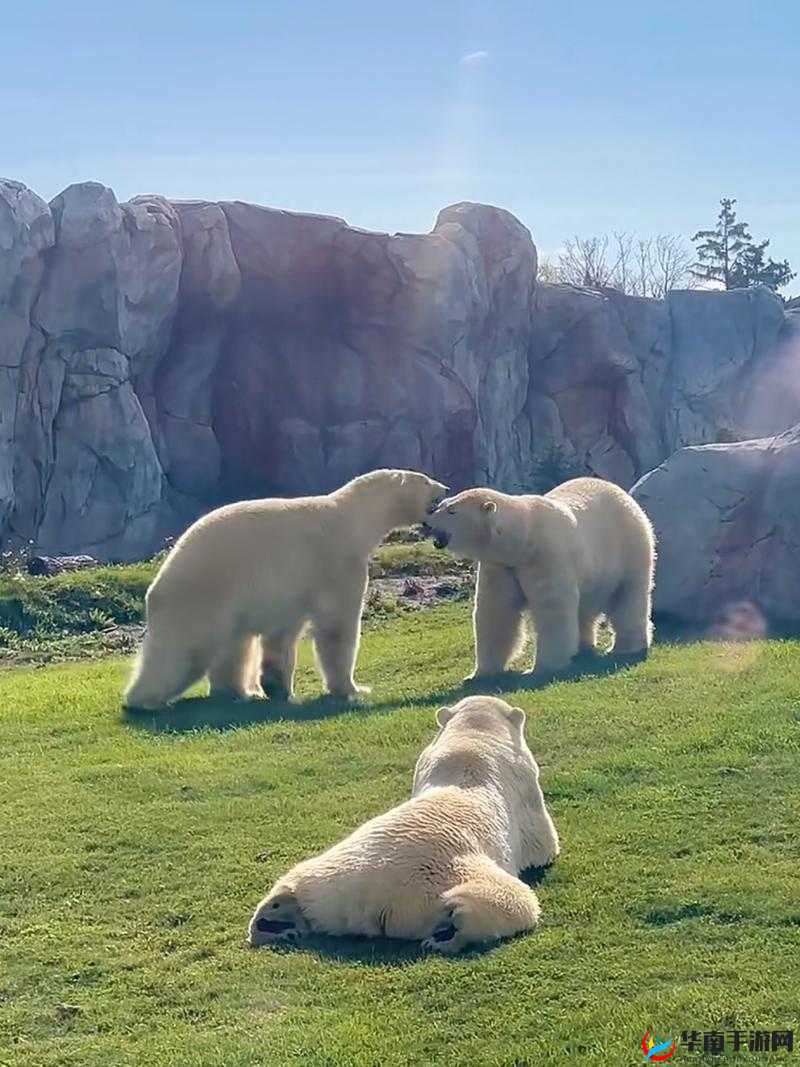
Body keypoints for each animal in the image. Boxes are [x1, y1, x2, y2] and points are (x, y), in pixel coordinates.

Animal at [123, 469, 447, 710]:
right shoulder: (335, 561)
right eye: (426, 480)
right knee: (183, 650)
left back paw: (239, 692)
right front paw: (354, 689)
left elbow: (280, 635)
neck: (353, 519)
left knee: (234, 646)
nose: (445, 487)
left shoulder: (290, 588)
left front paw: (276, 687)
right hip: (204, 594)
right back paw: (145, 699)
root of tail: (158, 583)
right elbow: (337, 627)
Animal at [248, 695, 559, 955]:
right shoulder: (527, 787)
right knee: (513, 900)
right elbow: (544, 844)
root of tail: (375, 902)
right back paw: (451, 931)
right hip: (452, 874)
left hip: (328, 875)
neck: (472, 740)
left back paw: (275, 919)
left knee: (296, 881)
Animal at [425, 477, 655, 681]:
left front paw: (541, 668)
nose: (427, 520)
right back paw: (584, 647)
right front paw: (479, 674)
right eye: (442, 505)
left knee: (628, 596)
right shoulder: (501, 566)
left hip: (629, 545)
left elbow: (552, 609)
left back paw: (626, 646)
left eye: (452, 510)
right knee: (585, 605)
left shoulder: (545, 556)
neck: (522, 541)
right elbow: (496, 612)